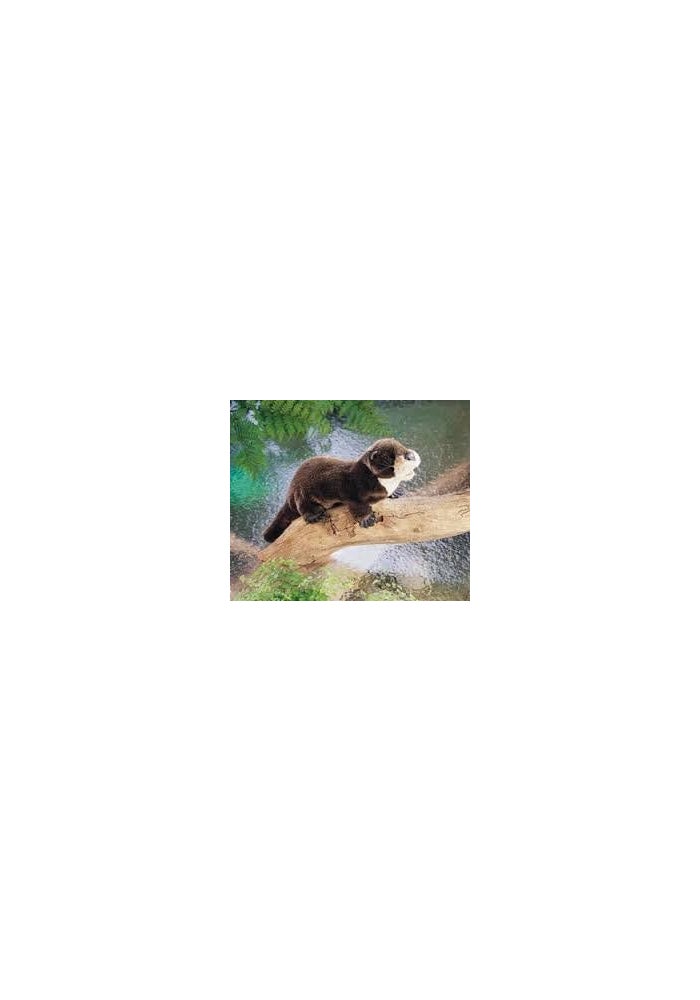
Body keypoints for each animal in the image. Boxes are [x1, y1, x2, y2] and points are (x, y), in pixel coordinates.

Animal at [263, 438, 421, 543]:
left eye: (404, 448)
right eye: (391, 458)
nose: (410, 455)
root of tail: (290, 491)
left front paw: (395, 493)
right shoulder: (353, 490)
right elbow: (358, 506)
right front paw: (366, 519)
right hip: (302, 492)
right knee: (303, 507)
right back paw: (315, 515)